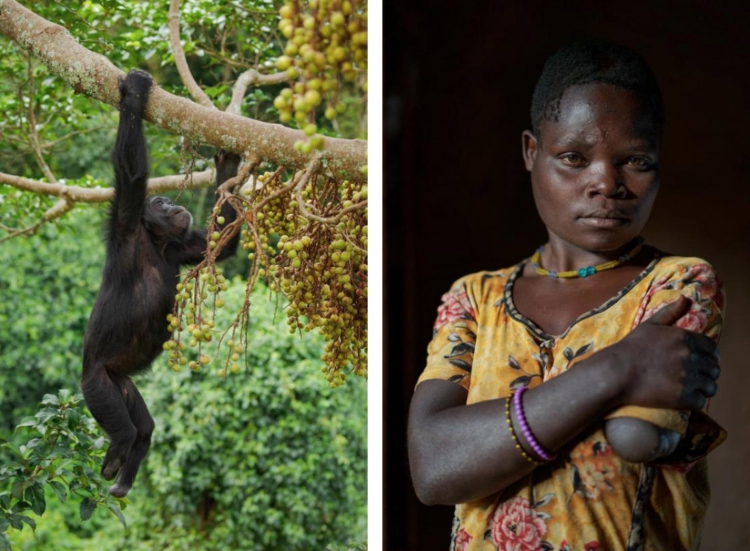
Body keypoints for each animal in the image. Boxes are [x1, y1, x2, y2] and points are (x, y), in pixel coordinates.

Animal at [82, 70, 241, 500]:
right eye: (161, 203)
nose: (173, 204)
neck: (155, 242)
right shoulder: (126, 222)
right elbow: (131, 171)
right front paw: (135, 92)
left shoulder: (183, 245)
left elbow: (219, 245)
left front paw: (229, 163)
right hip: (98, 388)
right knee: (122, 427)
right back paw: (117, 453)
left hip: (123, 386)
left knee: (145, 428)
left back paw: (124, 476)